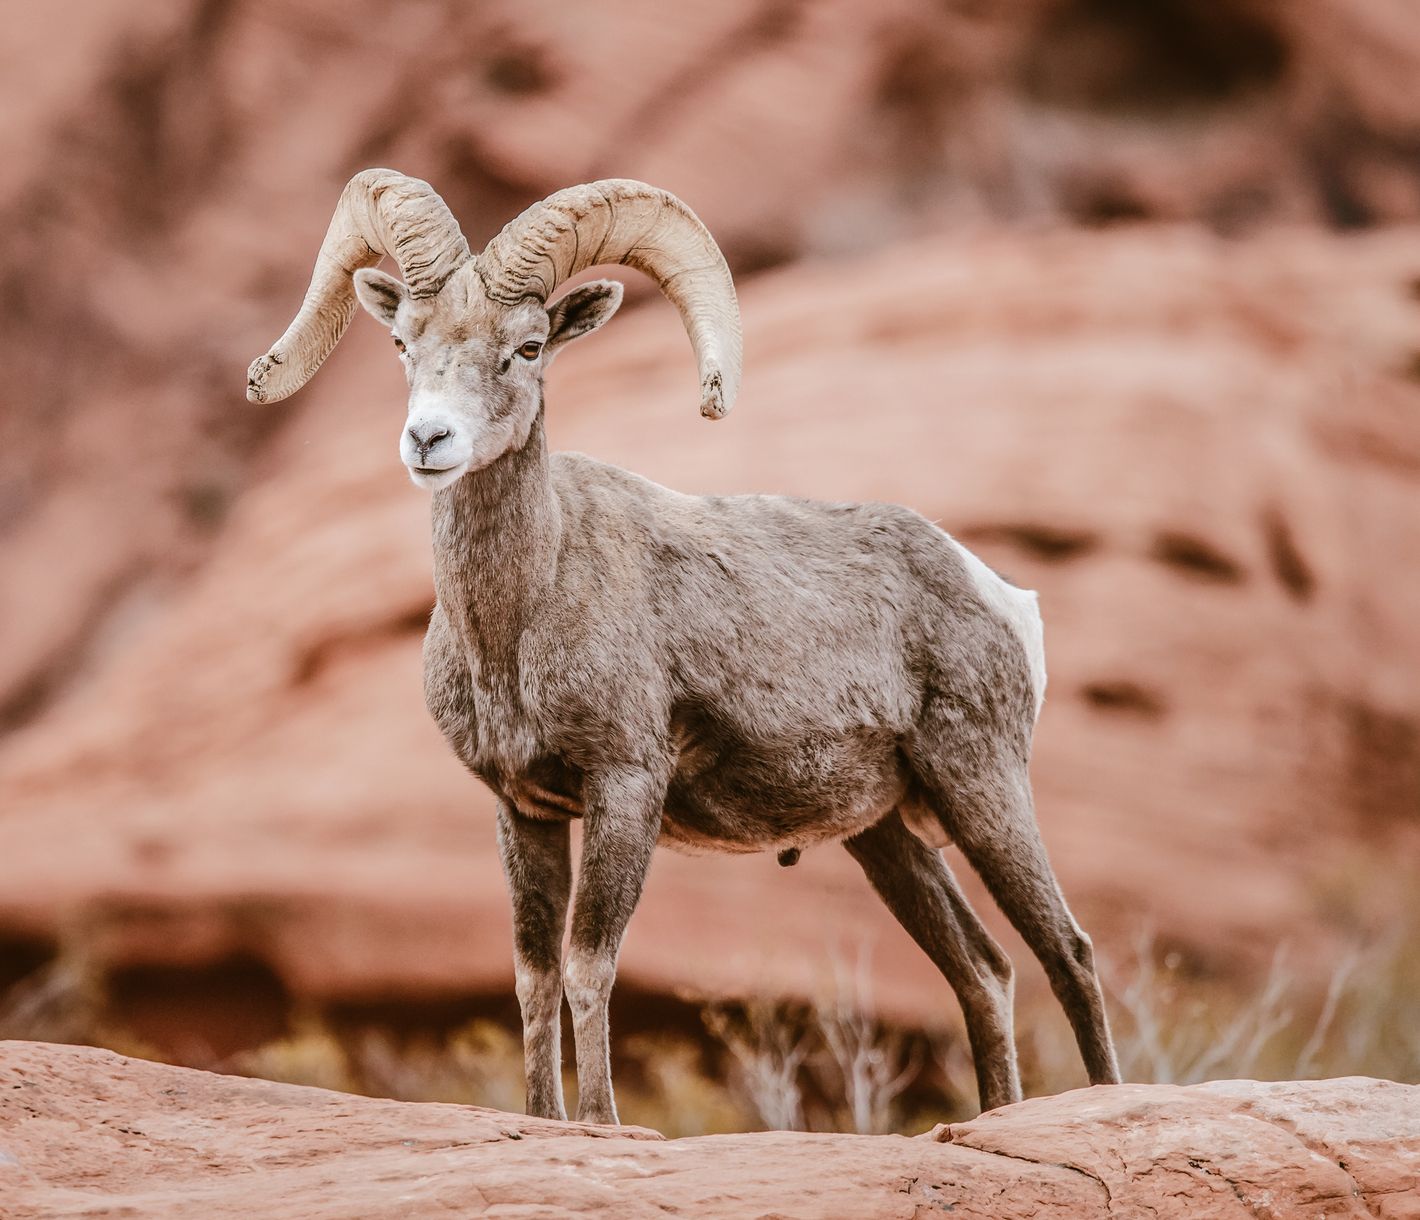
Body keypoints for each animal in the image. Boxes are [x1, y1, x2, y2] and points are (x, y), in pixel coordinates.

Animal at [247, 169, 1120, 1125]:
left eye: (527, 348)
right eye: (404, 342)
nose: (428, 441)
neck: (518, 623)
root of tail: (998, 593)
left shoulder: (626, 785)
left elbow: (589, 965)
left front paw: (602, 1123)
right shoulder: (523, 811)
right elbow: (533, 977)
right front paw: (543, 1120)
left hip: (980, 785)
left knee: (1069, 954)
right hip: (888, 836)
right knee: (983, 972)